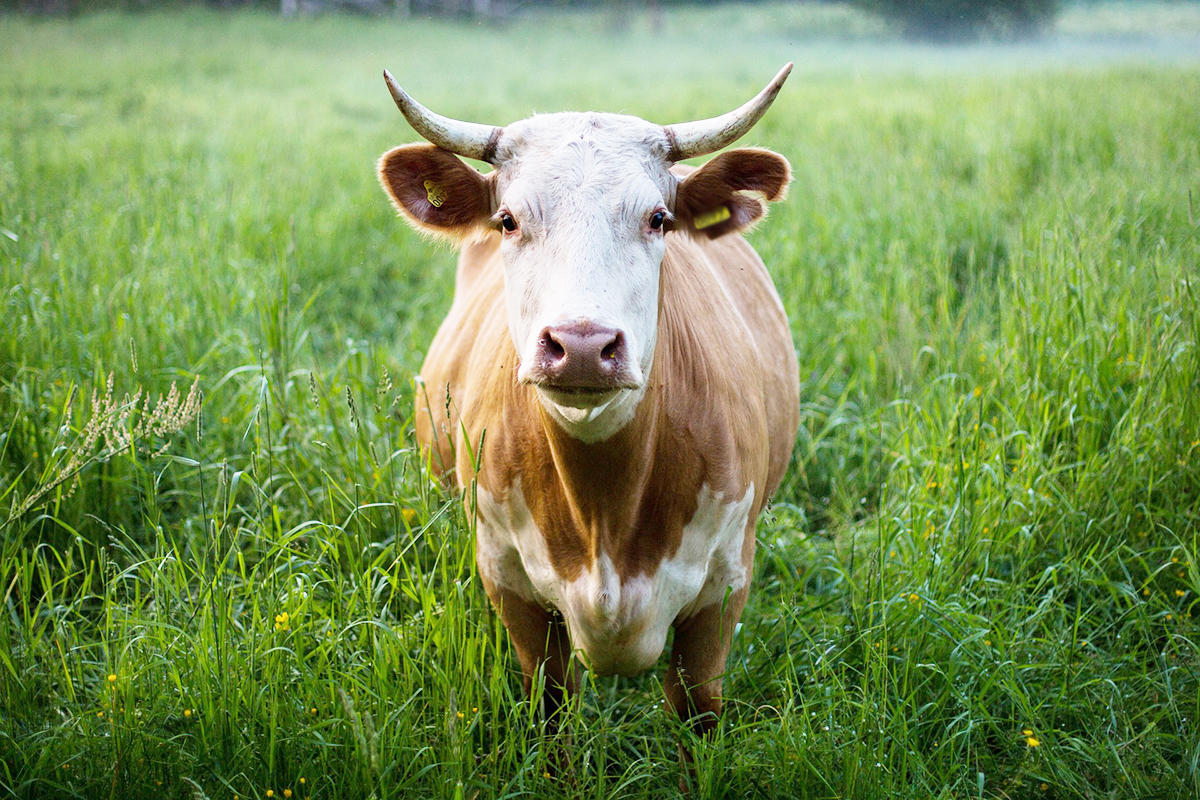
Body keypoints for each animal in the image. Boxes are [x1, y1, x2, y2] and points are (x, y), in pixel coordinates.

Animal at [379, 65, 801, 753]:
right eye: (507, 220)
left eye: (658, 218)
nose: (581, 346)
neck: (605, 507)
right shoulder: (509, 583)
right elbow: (552, 711)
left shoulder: (723, 588)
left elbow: (697, 714)